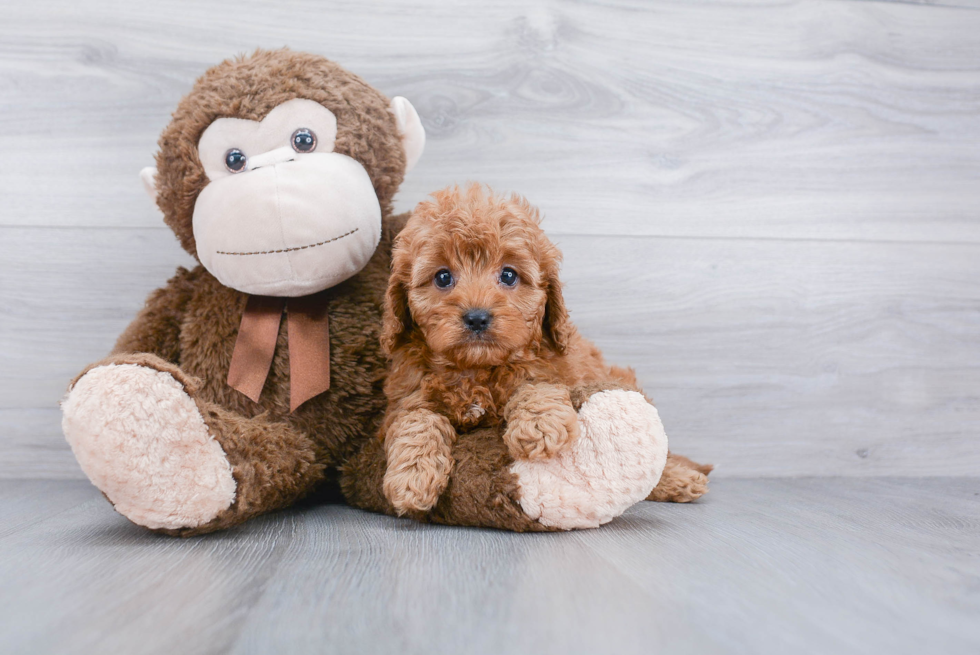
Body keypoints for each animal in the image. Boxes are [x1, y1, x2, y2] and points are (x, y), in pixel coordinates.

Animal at [378, 182, 708, 516]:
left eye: (508, 275)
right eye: (443, 277)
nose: (477, 317)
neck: (476, 369)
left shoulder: (553, 367)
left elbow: (536, 385)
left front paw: (539, 426)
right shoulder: (406, 397)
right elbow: (417, 421)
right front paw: (412, 476)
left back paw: (679, 480)